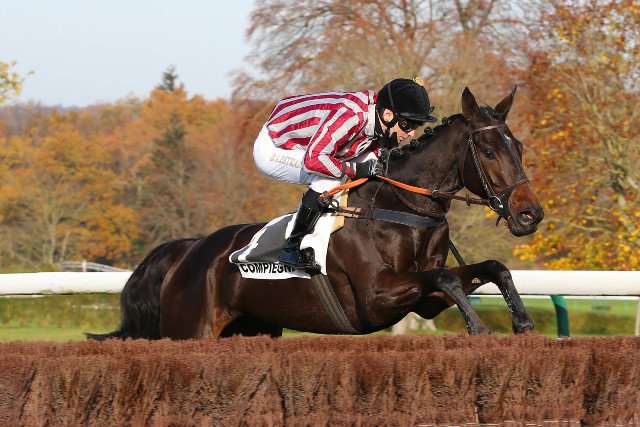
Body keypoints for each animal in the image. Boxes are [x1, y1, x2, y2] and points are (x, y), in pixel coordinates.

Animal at [87, 87, 544, 341]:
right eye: (488, 151)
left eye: (519, 146)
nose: (530, 214)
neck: (400, 211)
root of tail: (189, 250)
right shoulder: (376, 296)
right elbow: (446, 277)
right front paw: (479, 329)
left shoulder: (425, 302)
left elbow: (491, 267)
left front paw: (522, 322)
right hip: (189, 331)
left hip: (252, 329)